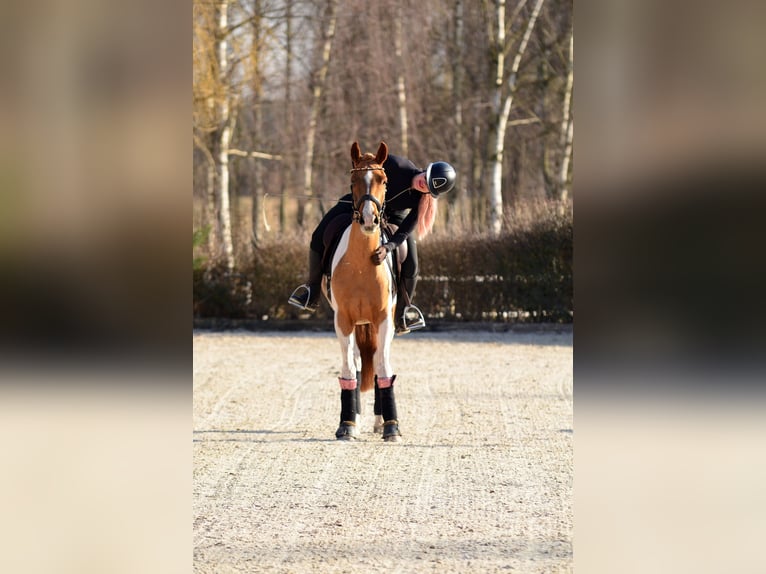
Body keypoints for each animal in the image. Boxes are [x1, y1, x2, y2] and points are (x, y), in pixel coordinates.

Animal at [323, 141, 401, 442]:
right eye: (353, 181)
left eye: (383, 180)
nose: (369, 218)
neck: (360, 264)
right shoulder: (343, 320)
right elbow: (348, 368)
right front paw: (346, 424)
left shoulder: (384, 319)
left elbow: (383, 366)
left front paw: (391, 426)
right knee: (356, 362)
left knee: (378, 361)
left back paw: (380, 421)